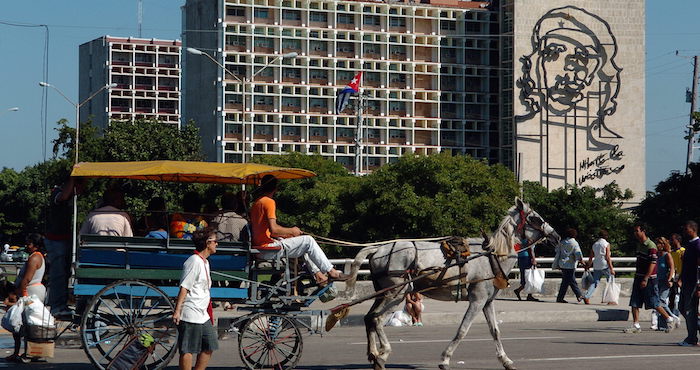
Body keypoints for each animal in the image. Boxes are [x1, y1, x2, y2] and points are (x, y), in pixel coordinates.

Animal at [344, 199, 556, 370]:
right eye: (535, 218)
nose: (556, 236)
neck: (492, 256)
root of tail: (378, 249)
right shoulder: (477, 300)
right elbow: (463, 330)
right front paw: (445, 359)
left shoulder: (487, 302)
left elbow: (495, 331)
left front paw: (506, 360)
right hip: (396, 294)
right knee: (377, 319)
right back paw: (383, 353)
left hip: (383, 293)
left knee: (369, 318)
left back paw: (373, 354)